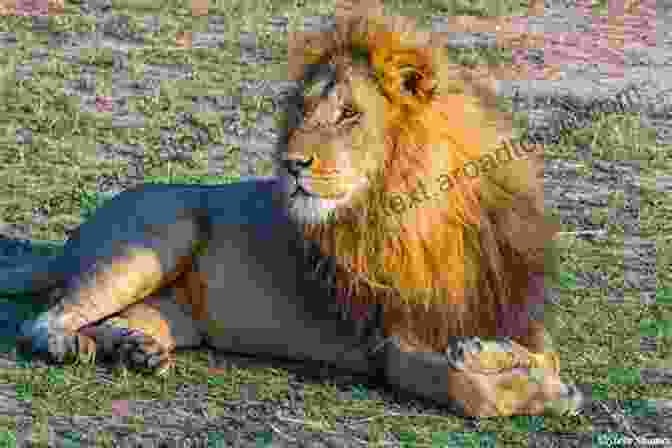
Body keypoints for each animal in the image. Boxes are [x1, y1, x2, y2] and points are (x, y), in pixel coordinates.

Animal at [5, 0, 584, 416]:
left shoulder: (509, 303)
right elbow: (472, 391)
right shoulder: (391, 344)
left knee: (107, 318)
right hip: (163, 232)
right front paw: (528, 382)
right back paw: (68, 345)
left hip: (175, 314)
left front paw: (530, 373)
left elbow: (543, 355)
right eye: (302, 110)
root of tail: (69, 242)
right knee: (45, 316)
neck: (426, 211)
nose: (291, 163)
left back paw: (134, 348)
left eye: (348, 114)